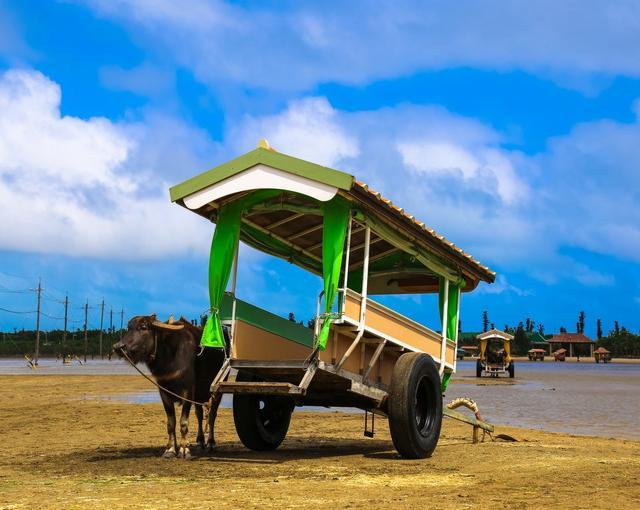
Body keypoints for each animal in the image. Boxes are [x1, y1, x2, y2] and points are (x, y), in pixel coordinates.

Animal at [114, 314, 226, 458]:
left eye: (143, 327)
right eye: (129, 327)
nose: (118, 347)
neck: (169, 358)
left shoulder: (188, 391)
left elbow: (183, 422)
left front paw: (184, 449)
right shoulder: (164, 391)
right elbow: (171, 423)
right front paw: (171, 449)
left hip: (217, 390)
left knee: (212, 415)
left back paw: (211, 443)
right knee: (199, 414)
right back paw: (200, 440)